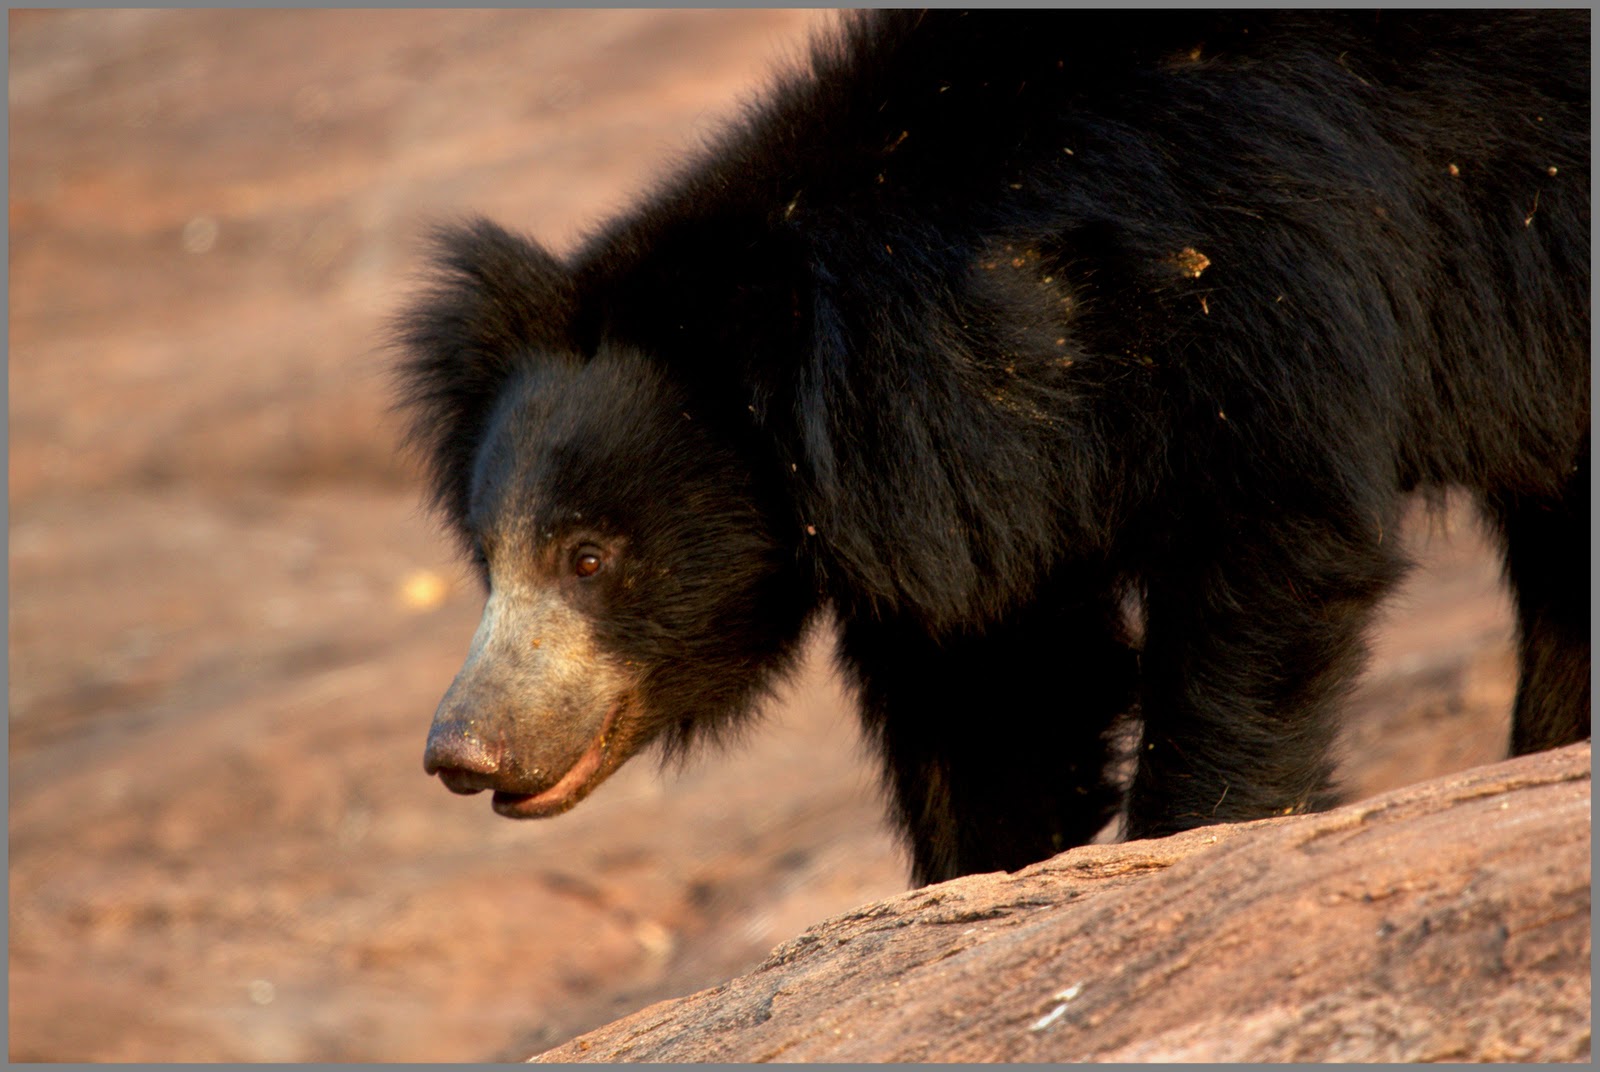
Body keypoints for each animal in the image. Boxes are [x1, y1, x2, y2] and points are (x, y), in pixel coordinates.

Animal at [394, 9, 1589, 887]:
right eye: (490, 561)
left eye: (589, 557)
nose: (458, 752)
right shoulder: (953, 485)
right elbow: (1003, 686)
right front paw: (979, 872)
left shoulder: (1267, 274)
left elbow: (1274, 541)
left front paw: (1190, 832)